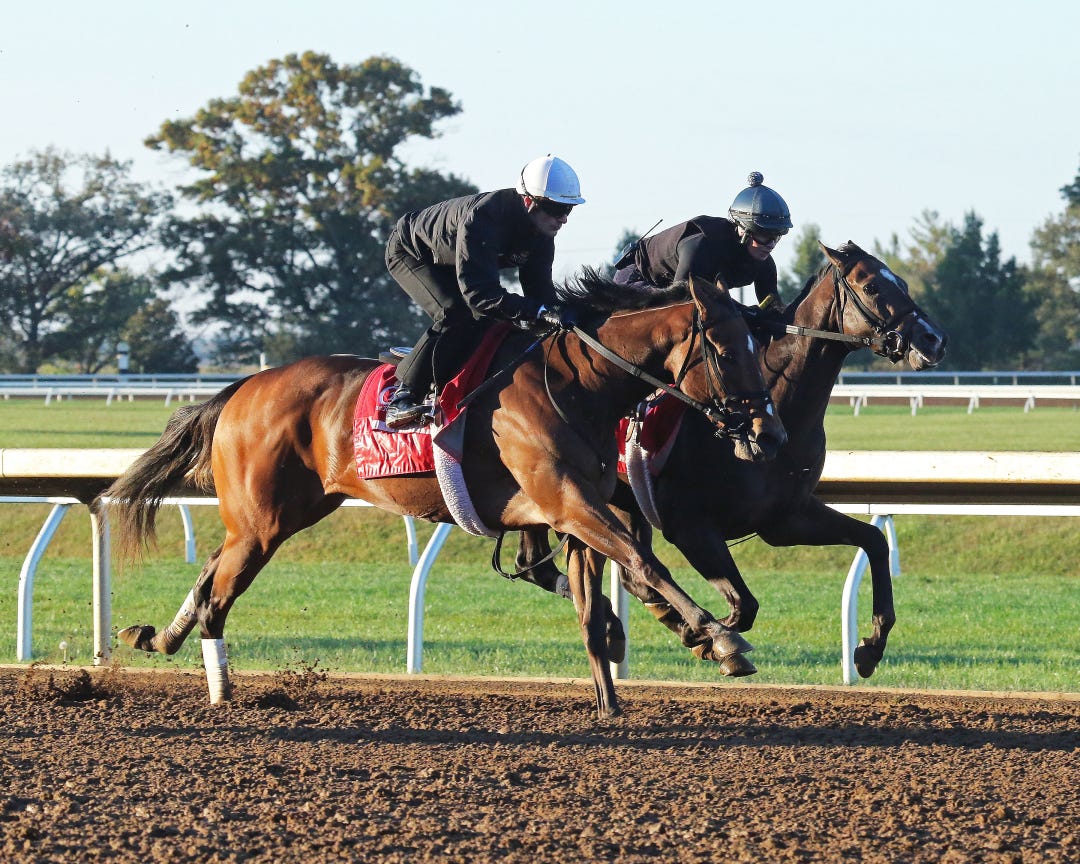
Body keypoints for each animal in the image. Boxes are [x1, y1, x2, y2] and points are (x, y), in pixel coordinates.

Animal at [103, 271, 788, 719]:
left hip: (279, 515)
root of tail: (243, 386)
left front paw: (611, 706)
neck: (577, 385)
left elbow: (595, 612)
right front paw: (720, 639)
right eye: (727, 350)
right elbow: (647, 563)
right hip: (262, 521)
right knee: (220, 594)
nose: (769, 434)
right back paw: (220, 691)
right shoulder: (570, 503)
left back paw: (158, 638)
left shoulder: (577, 517)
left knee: (210, 576)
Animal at [517, 242, 948, 677]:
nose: (933, 340)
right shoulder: (689, 526)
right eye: (872, 285)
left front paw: (871, 647)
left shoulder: (784, 518)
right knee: (567, 566)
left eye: (903, 282)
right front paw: (712, 640)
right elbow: (743, 606)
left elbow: (873, 541)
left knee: (552, 565)